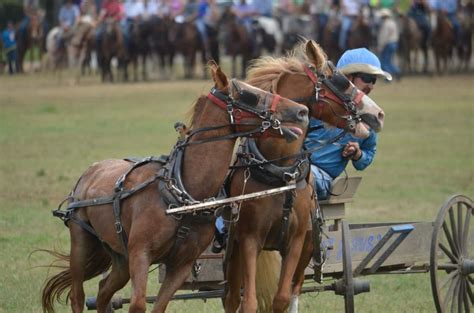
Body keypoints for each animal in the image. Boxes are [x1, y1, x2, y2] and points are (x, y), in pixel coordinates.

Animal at [39, 61, 308, 312]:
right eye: (249, 95)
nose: (302, 111)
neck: (183, 192)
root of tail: (92, 170)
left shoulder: (181, 264)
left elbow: (159, 306)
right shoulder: (140, 254)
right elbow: (138, 305)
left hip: (120, 257)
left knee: (105, 291)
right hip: (82, 243)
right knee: (78, 296)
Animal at [223, 40, 386, 310]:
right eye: (340, 81)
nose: (379, 114)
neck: (280, 174)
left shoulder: (296, 242)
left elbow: (281, 298)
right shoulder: (248, 240)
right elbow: (249, 301)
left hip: (309, 247)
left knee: (295, 289)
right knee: (233, 296)